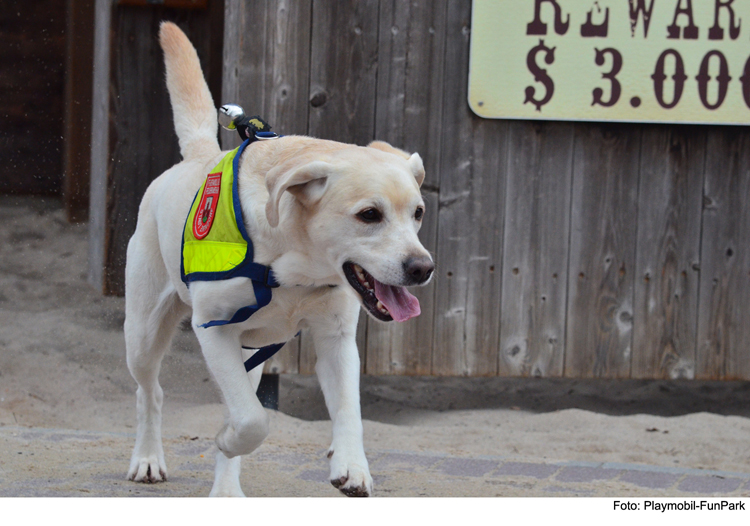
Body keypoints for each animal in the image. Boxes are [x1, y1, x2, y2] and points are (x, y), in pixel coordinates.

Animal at [124, 21, 434, 500]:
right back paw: (147, 459)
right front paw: (228, 438)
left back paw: (226, 492)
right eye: (369, 215)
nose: (422, 268)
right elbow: (253, 421)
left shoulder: (336, 339)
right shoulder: (213, 330)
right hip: (143, 332)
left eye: (417, 213)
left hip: (249, 351)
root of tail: (199, 154)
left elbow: (348, 411)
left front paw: (351, 465)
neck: (296, 266)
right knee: (150, 392)